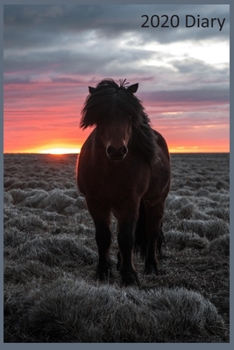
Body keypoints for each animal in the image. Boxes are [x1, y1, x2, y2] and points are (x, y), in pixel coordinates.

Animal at [77, 78, 171, 286]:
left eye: (129, 115)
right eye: (101, 116)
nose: (117, 150)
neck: (109, 169)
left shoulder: (130, 201)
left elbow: (127, 238)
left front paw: (129, 275)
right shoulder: (95, 202)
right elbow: (104, 237)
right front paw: (103, 271)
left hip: (156, 201)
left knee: (152, 232)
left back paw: (151, 266)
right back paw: (120, 262)